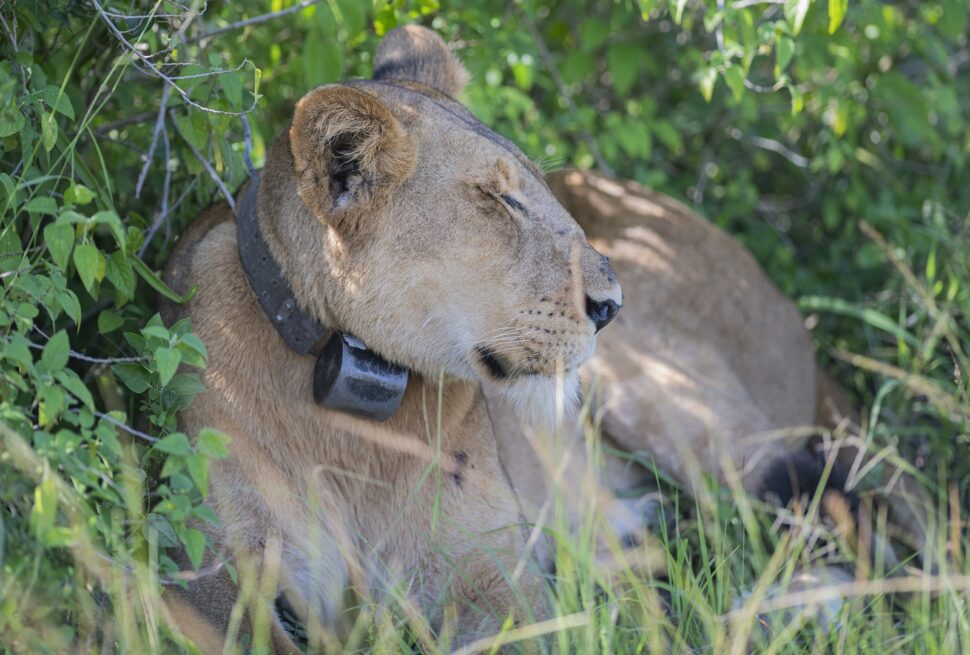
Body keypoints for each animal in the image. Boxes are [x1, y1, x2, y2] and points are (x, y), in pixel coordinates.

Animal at [159, 25, 929, 653]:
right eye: (500, 200)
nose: (611, 305)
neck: (350, 411)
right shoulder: (204, 565)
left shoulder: (491, 570)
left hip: (673, 399)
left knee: (846, 524)